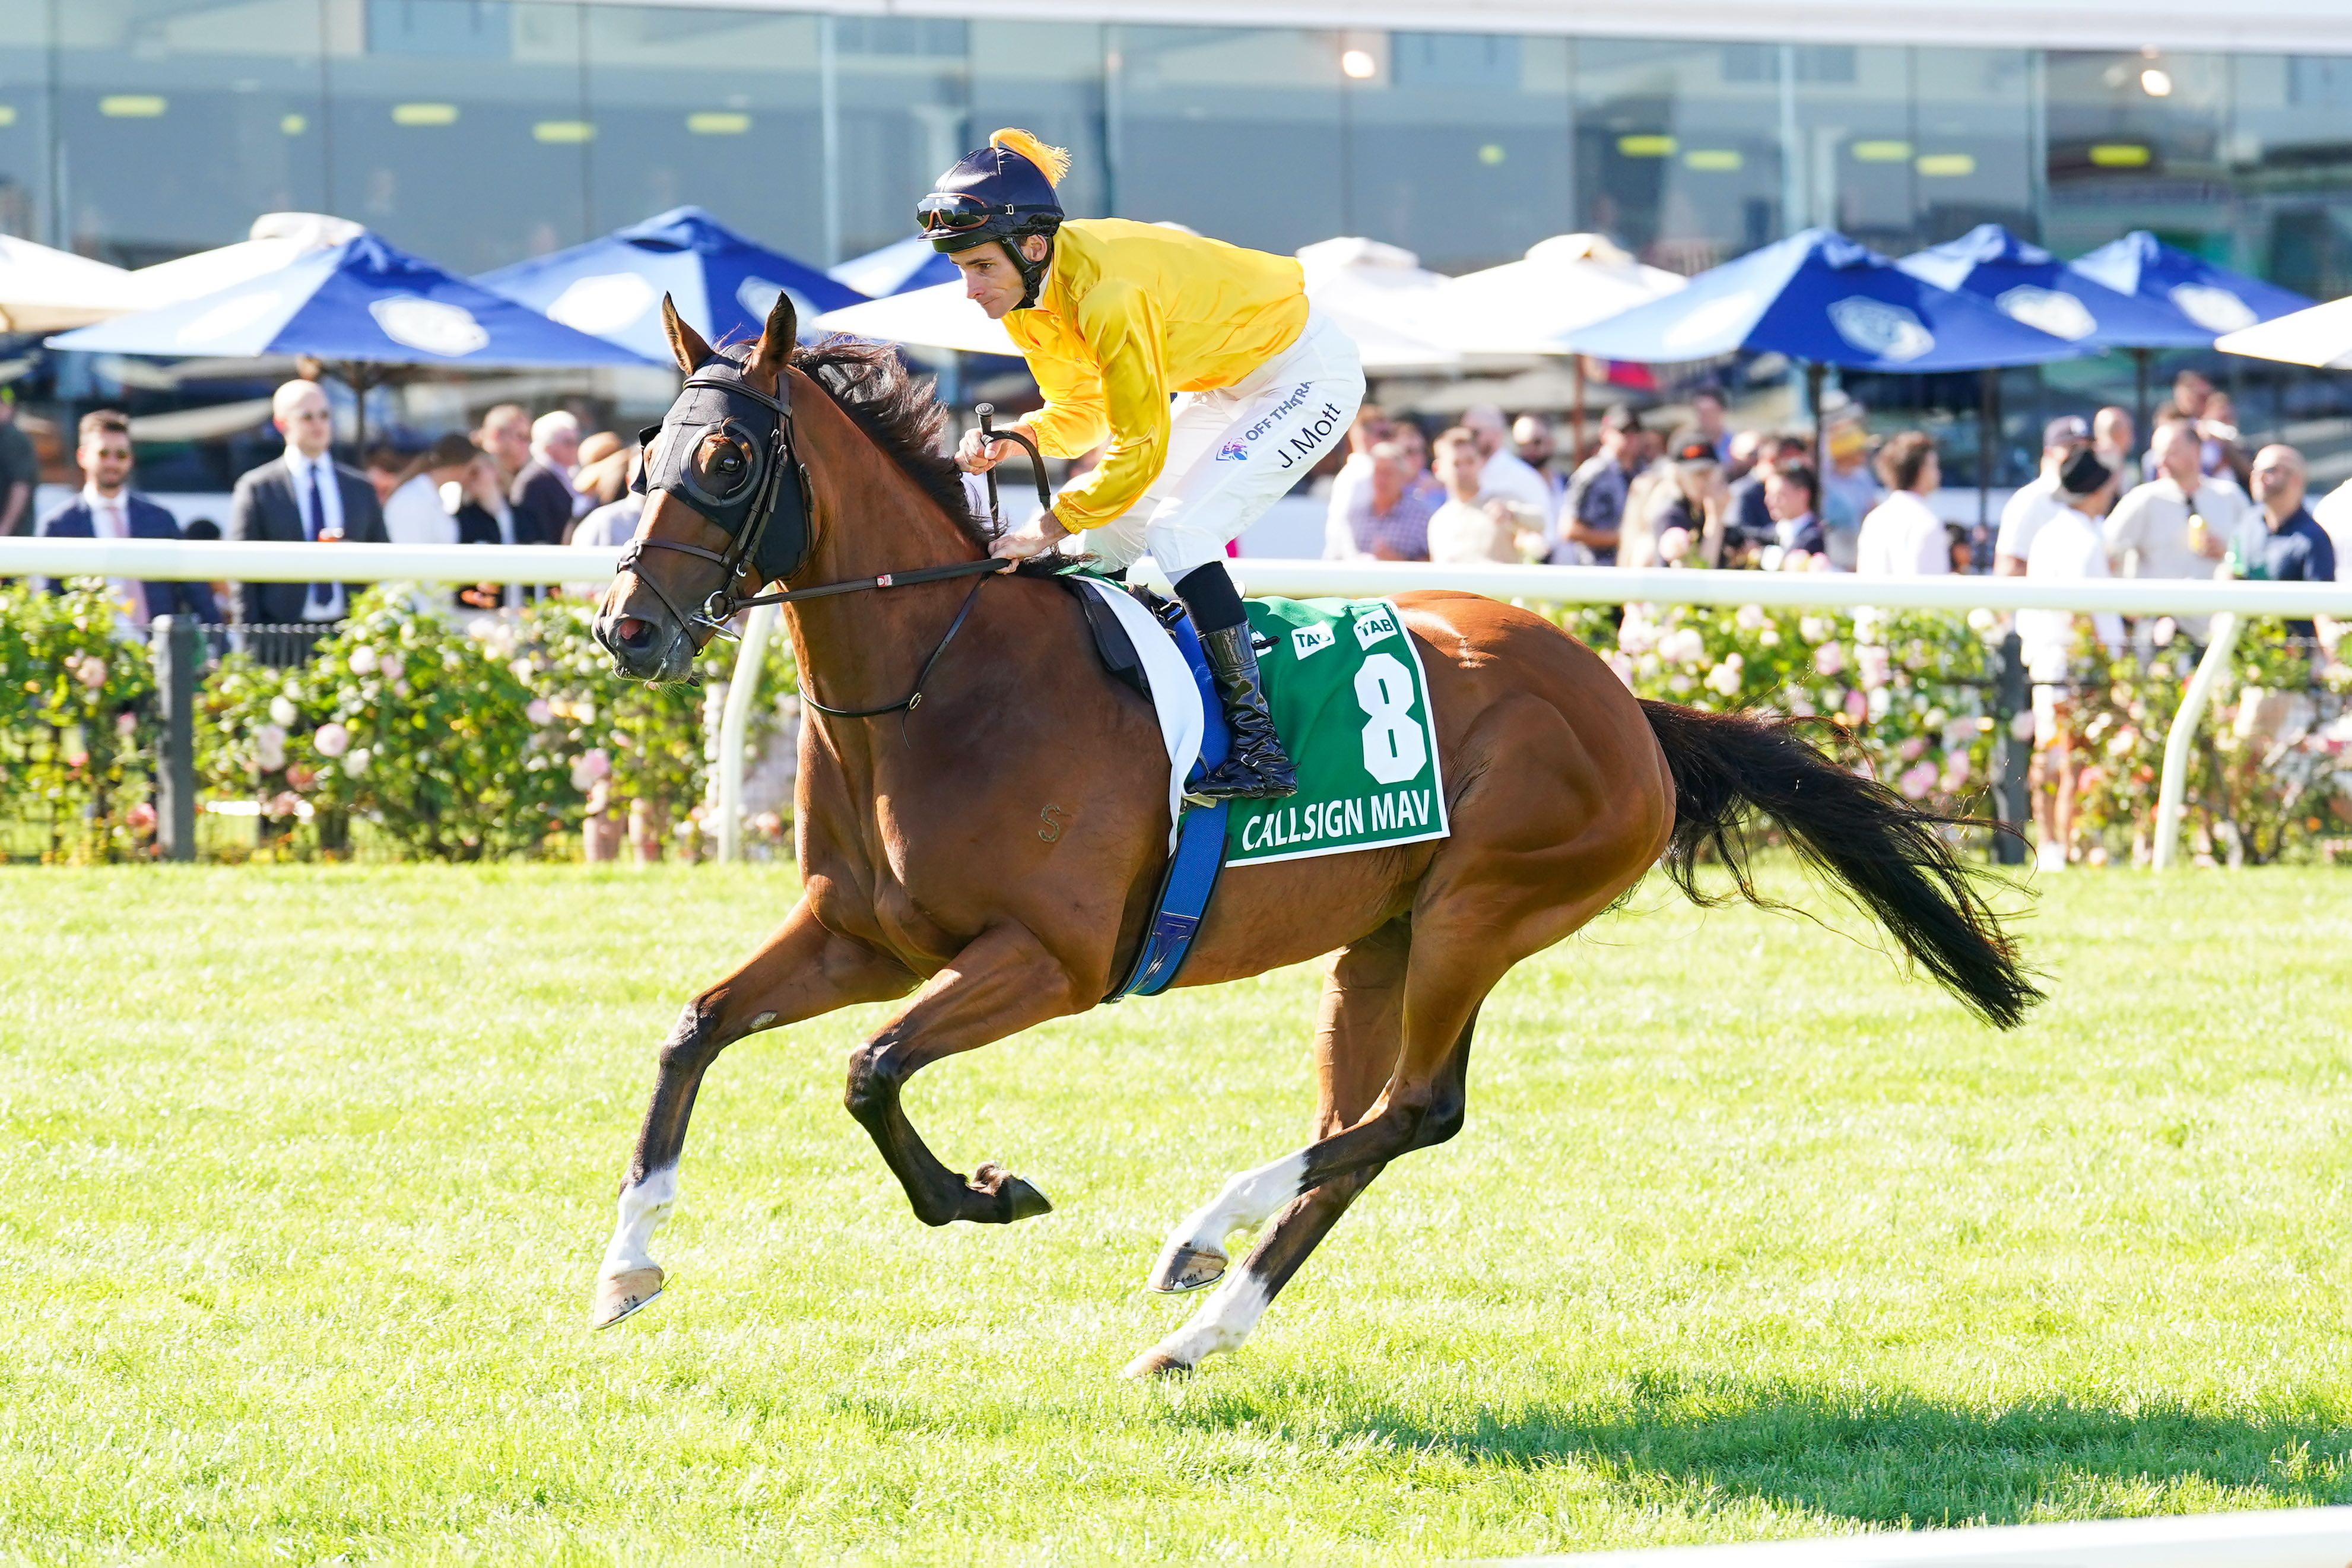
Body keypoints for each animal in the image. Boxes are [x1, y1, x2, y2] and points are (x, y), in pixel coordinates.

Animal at [592, 294, 2041, 1373]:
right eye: (639, 460)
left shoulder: (1049, 961)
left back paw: (1200, 1239)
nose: (629, 630)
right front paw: (627, 1263)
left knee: (1418, 1112)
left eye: (725, 462)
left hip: (1480, 914)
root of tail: (1623, 702)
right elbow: (695, 1028)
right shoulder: (864, 935)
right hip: (1380, 941)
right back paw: (1201, 1325)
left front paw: (985, 1192)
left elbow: (871, 1069)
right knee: (1361, 1128)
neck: (940, 684)